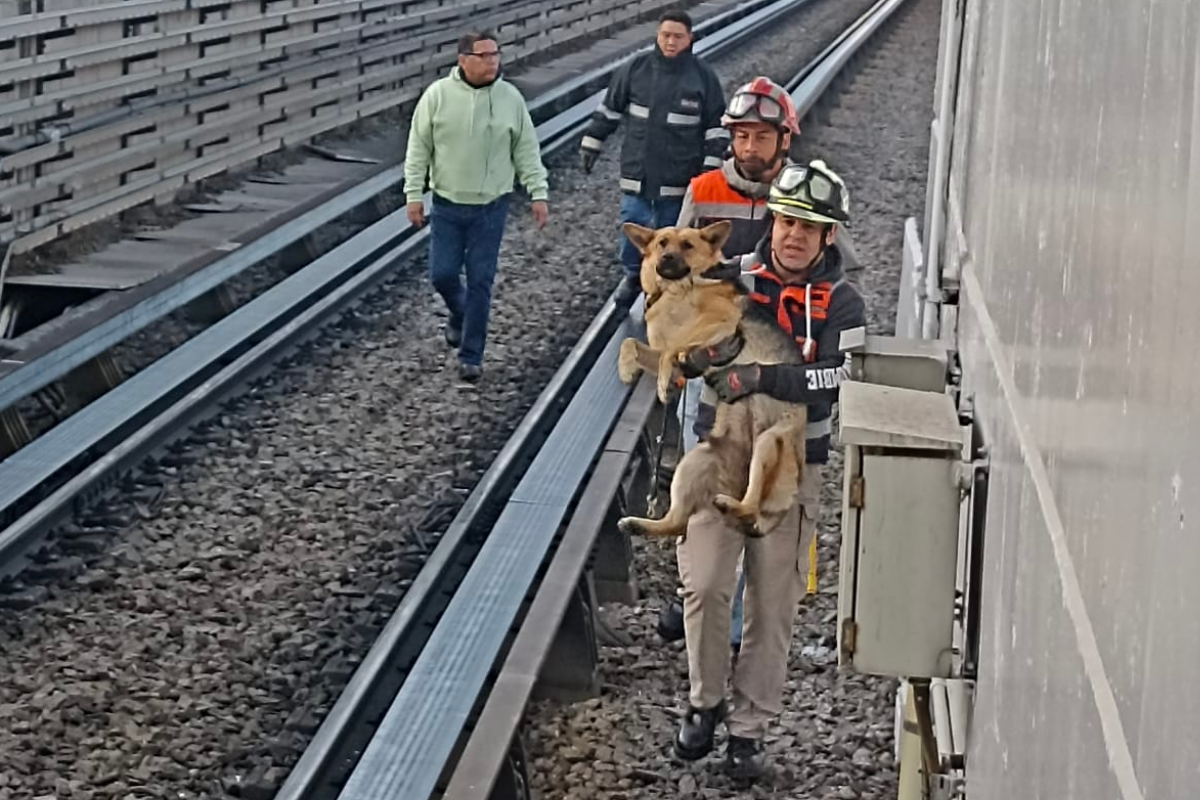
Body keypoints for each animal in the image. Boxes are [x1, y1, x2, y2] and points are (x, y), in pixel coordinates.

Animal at [619, 219, 806, 542]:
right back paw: (638, 524)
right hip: (692, 464)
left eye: (687, 245)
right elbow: (631, 343)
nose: (665, 259)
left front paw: (664, 383)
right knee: (677, 522)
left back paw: (732, 505)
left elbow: (671, 348)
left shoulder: (719, 324)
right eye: (661, 243)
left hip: (768, 443)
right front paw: (628, 369)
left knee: (750, 507)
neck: (676, 289)